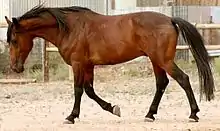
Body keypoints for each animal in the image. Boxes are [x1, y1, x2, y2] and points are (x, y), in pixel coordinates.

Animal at [4, 4, 215, 123]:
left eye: (13, 40)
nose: (15, 68)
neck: (69, 28)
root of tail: (170, 19)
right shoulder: (88, 66)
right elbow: (89, 91)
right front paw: (113, 108)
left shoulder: (78, 64)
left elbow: (78, 90)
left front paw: (71, 116)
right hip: (156, 61)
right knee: (161, 84)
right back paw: (150, 114)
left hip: (163, 60)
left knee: (183, 79)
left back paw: (193, 114)